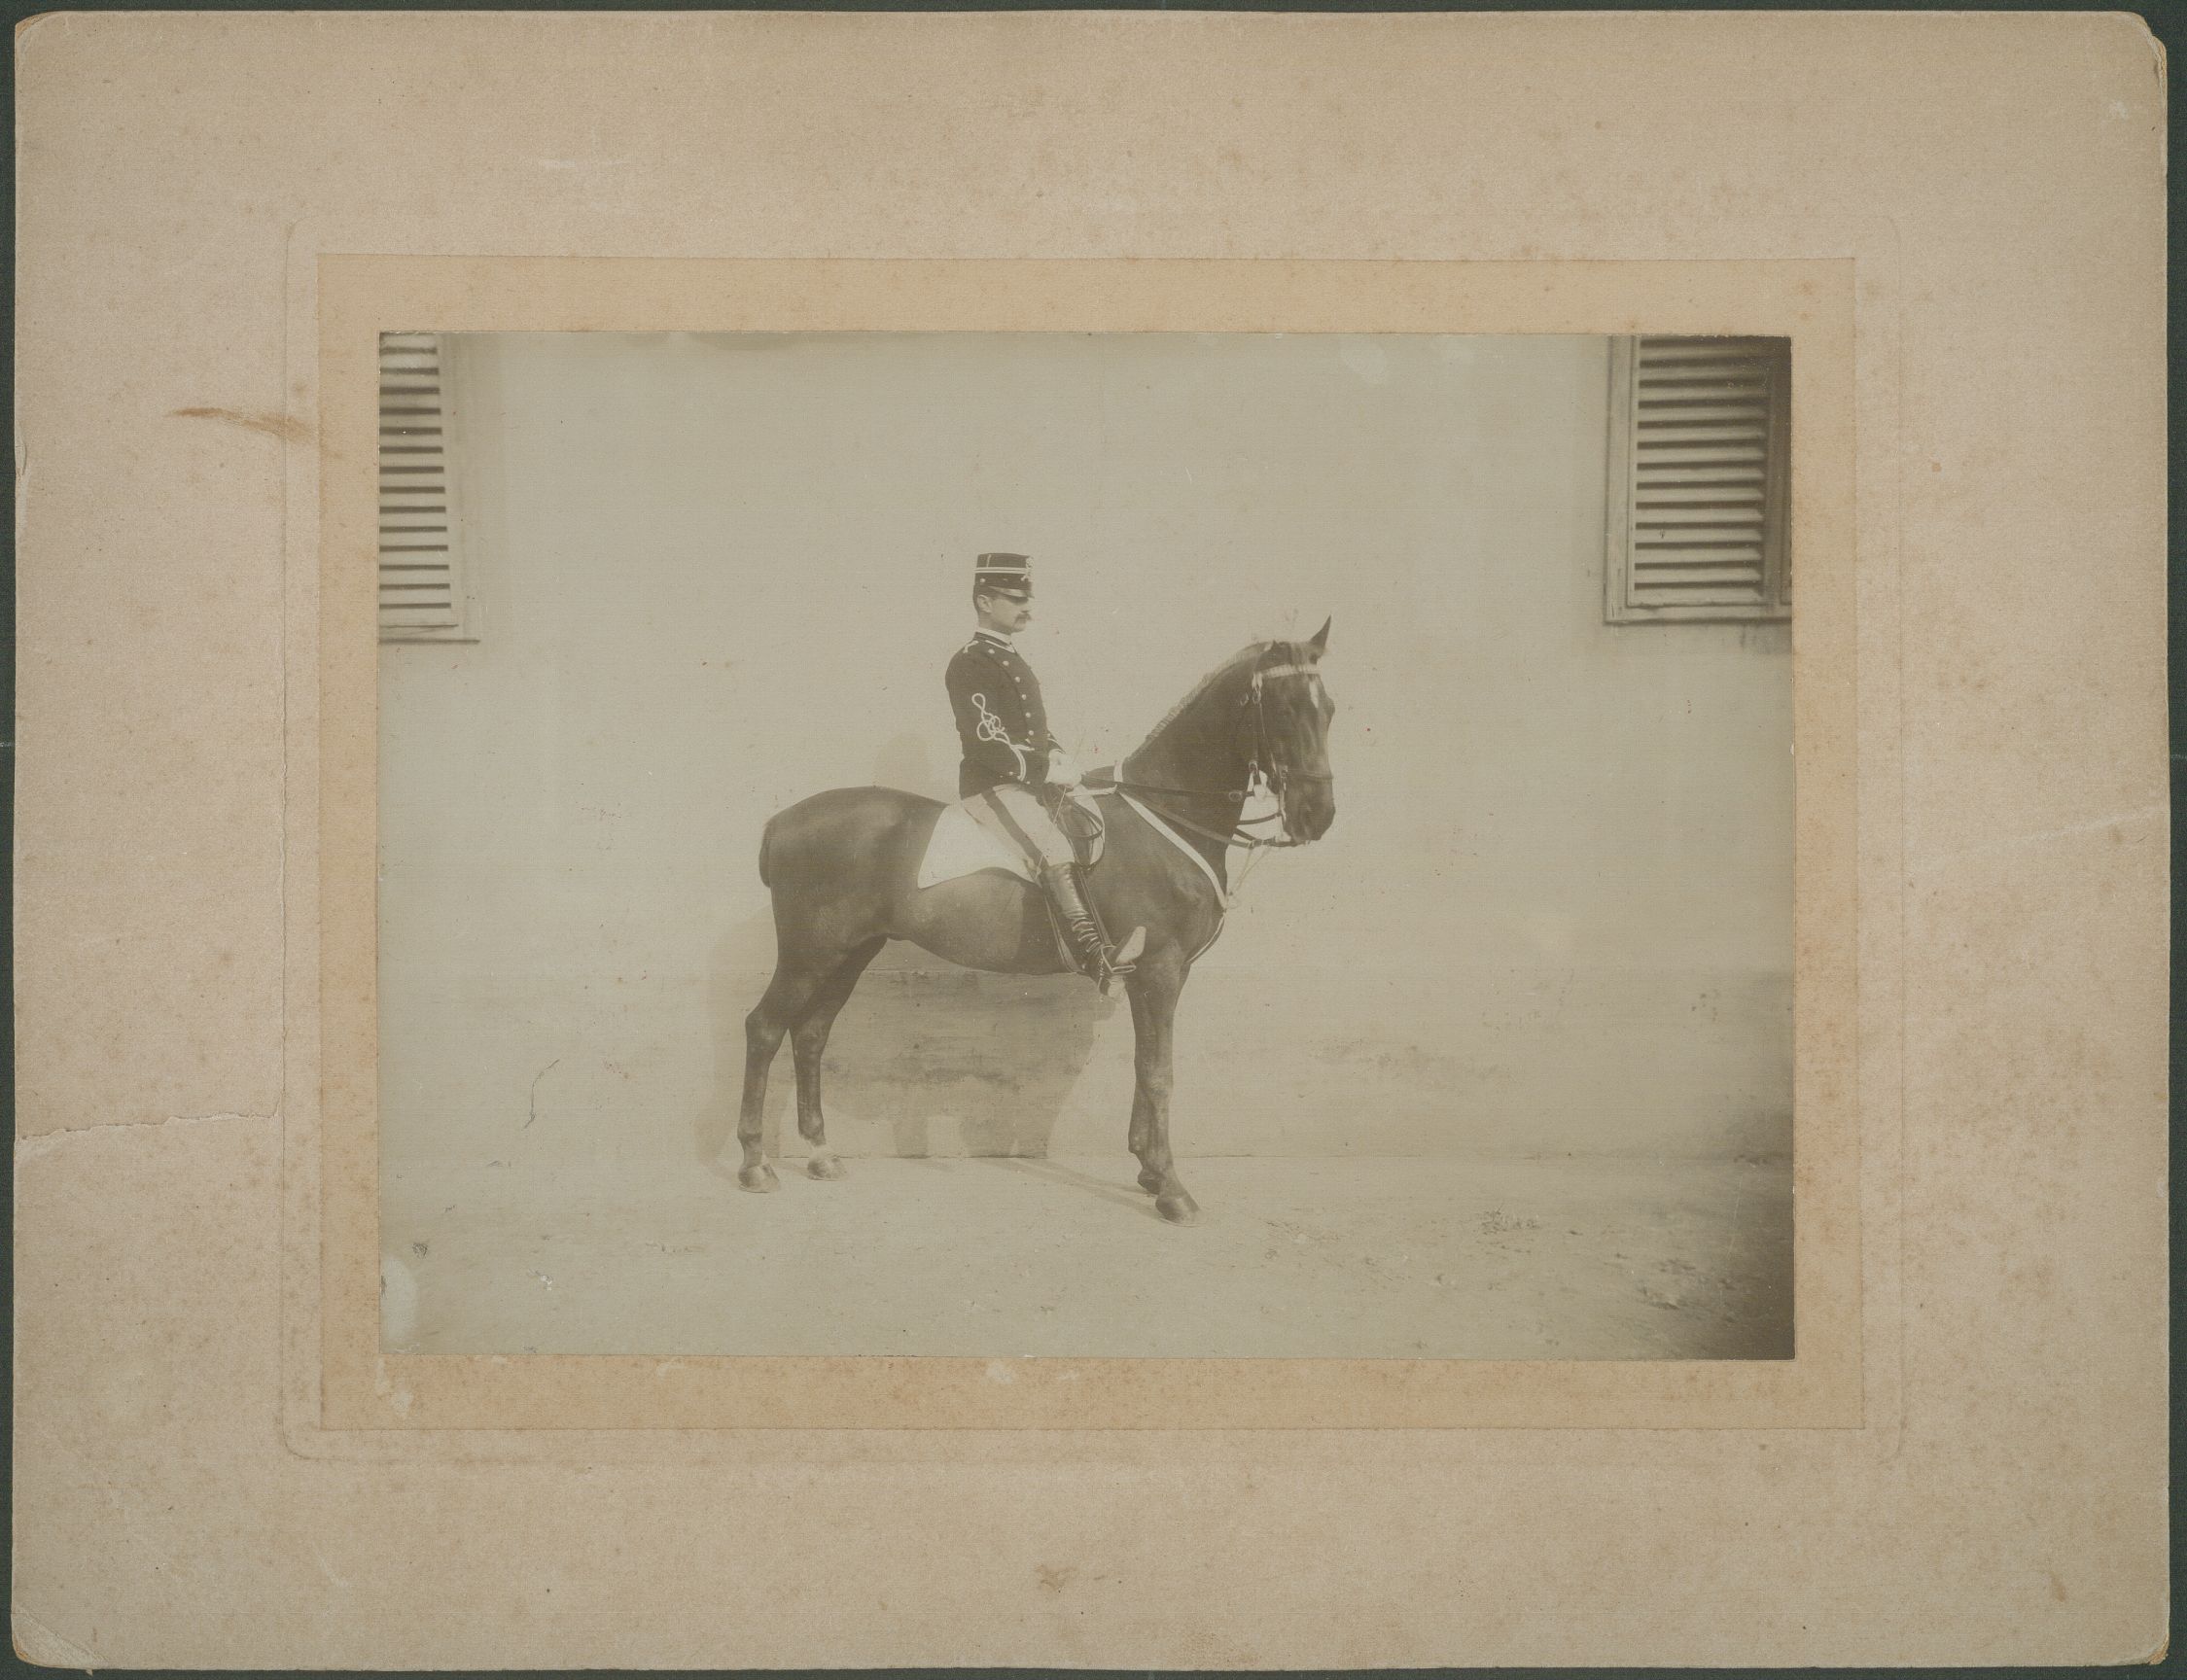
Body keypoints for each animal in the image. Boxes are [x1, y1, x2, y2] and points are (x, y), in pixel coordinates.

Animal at [736, 619, 1335, 1225]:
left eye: (1329, 708)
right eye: (1285, 709)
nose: (1319, 816)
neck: (1165, 816)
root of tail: (779, 822)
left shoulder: (1159, 975)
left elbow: (1143, 1065)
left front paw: (1147, 1169)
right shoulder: (1160, 970)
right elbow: (1159, 1073)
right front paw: (1171, 1188)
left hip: (850, 955)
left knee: (811, 1035)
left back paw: (820, 1153)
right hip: (808, 956)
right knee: (764, 1028)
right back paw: (755, 1164)